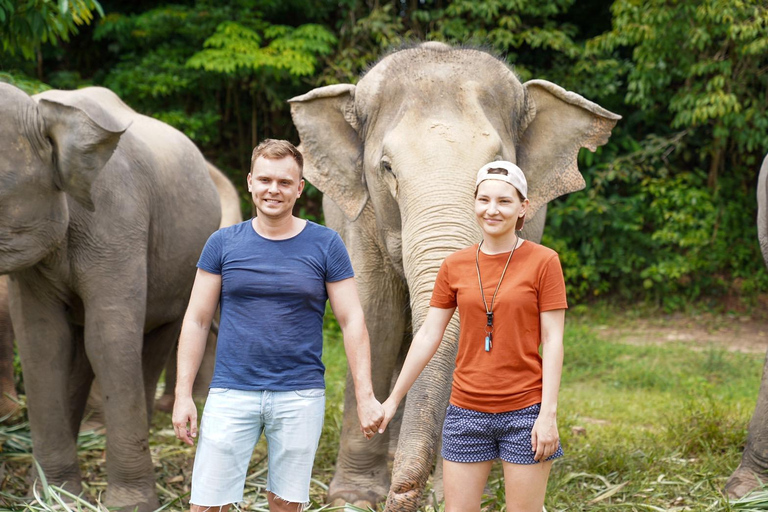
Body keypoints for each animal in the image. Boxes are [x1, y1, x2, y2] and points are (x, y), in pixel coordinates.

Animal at [0, 82, 222, 510]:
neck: (46, 111)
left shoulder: (118, 218)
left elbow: (109, 339)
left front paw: (129, 504)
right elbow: (42, 342)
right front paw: (54, 497)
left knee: (154, 341)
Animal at [292, 42, 620, 510]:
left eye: (501, 166)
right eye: (387, 168)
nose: (403, 495)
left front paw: (450, 490)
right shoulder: (360, 221)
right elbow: (376, 320)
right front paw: (352, 498)